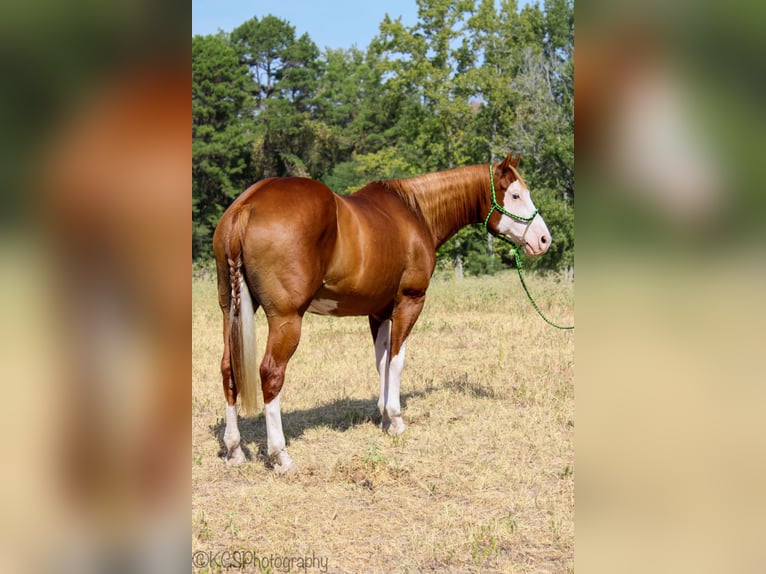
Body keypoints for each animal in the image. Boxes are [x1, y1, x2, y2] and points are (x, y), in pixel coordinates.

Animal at [214, 151, 552, 474]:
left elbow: (382, 361)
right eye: (515, 195)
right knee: (271, 373)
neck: (416, 213)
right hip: (286, 319)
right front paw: (396, 419)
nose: (544, 239)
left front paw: (384, 417)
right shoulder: (409, 302)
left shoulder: (378, 312)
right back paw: (281, 456)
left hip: (230, 310)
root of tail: (247, 205)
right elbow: (398, 360)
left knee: (228, 370)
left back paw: (234, 449)